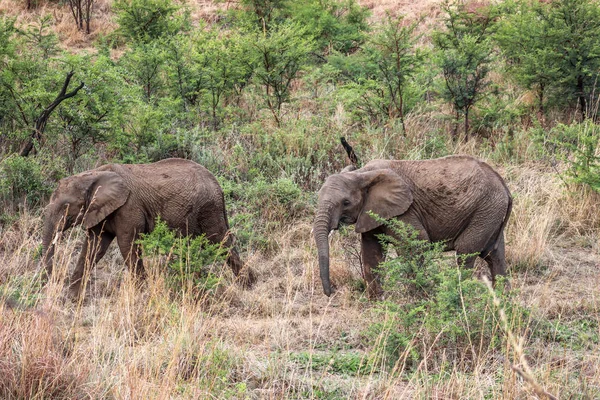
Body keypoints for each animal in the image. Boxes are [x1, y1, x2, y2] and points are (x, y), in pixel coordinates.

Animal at [41, 158, 253, 296]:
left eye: (66, 206)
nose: (47, 282)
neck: (93, 175)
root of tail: (218, 186)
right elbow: (94, 247)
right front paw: (71, 298)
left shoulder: (128, 207)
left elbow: (127, 245)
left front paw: (142, 293)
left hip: (208, 207)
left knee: (220, 242)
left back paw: (247, 285)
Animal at [312, 155, 512, 298]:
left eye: (345, 202)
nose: (331, 292)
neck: (361, 174)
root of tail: (504, 186)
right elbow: (371, 253)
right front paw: (377, 305)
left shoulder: (404, 211)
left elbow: (416, 245)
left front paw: (417, 300)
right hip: (491, 213)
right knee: (494, 255)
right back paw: (504, 301)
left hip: (486, 209)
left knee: (465, 251)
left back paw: (461, 296)